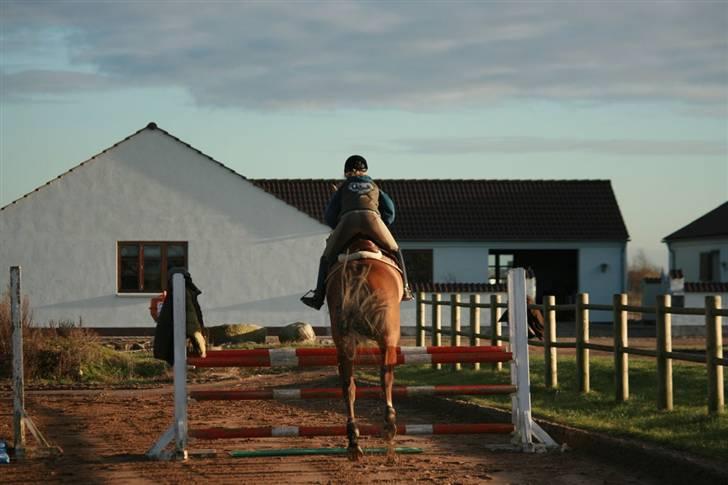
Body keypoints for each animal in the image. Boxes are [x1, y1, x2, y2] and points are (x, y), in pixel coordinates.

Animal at [326, 236, 404, 460]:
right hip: (388, 337)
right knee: (386, 377)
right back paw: (389, 426)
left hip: (344, 343)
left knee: (348, 387)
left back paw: (354, 441)